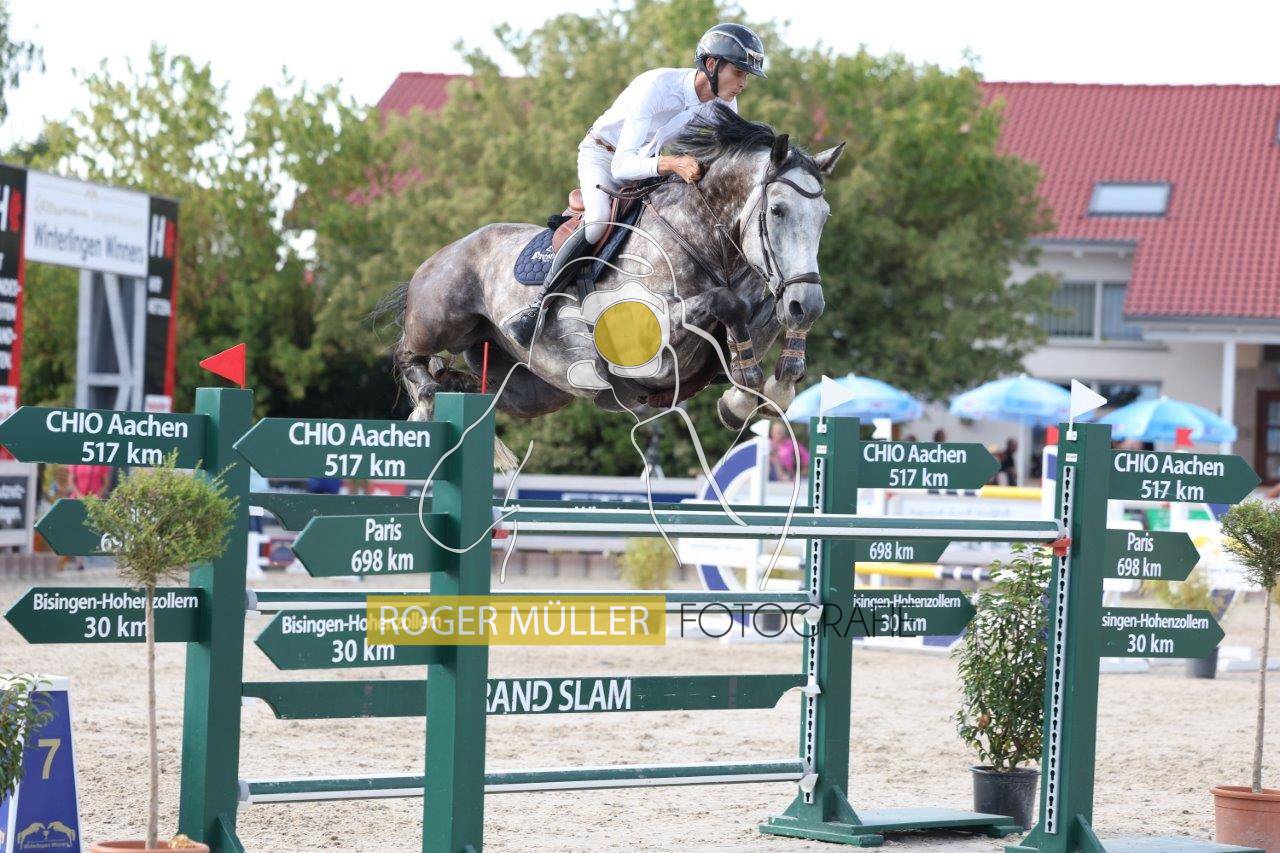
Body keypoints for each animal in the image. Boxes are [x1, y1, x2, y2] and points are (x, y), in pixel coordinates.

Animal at [381, 105, 844, 454]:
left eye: (824, 218)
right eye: (778, 210)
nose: (809, 304)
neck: (700, 239)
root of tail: (443, 252)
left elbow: (759, 320)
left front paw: (764, 389)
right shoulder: (645, 344)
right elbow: (728, 303)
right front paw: (744, 393)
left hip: (531, 390)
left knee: (470, 387)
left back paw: (448, 387)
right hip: (442, 316)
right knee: (408, 354)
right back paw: (426, 401)